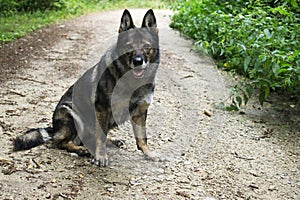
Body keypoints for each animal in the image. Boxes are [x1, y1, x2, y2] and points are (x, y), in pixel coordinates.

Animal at [12, 9, 163, 166]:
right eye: (129, 46)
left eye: (147, 47)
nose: (138, 61)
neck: (132, 81)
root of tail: (54, 129)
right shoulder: (103, 108)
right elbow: (100, 137)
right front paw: (101, 156)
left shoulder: (140, 112)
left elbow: (141, 138)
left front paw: (148, 153)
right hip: (71, 113)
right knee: (62, 142)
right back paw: (79, 149)